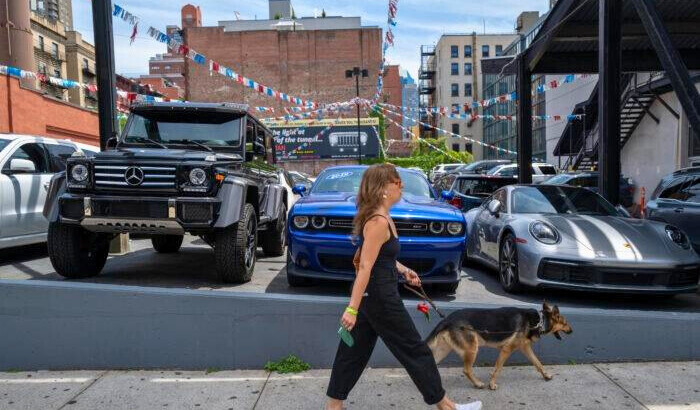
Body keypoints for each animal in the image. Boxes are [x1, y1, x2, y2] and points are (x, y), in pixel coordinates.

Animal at [424, 302, 572, 390]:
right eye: (565, 323)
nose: (572, 331)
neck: (539, 321)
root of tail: (448, 319)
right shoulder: (507, 349)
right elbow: (498, 368)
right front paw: (492, 384)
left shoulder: (525, 348)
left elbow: (538, 363)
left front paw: (546, 375)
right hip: (472, 349)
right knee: (466, 370)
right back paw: (477, 383)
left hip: (443, 351)